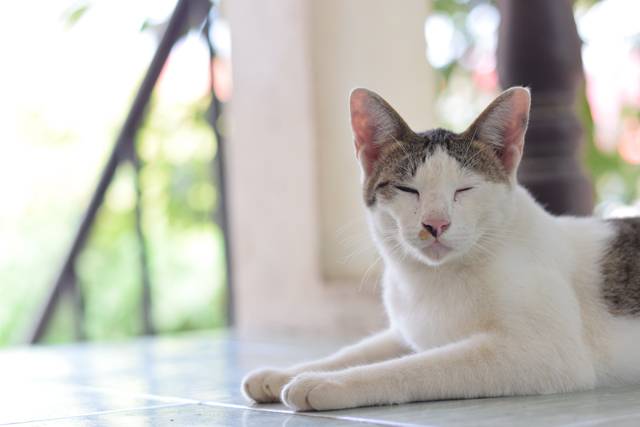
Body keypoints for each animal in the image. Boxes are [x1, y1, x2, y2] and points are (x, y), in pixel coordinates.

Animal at [241, 87, 640, 411]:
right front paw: (284, 373)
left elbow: (416, 366)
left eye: (465, 189)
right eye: (407, 190)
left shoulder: (544, 352)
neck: (436, 280)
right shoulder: (407, 331)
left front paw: (325, 382)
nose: (435, 224)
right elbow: (355, 350)